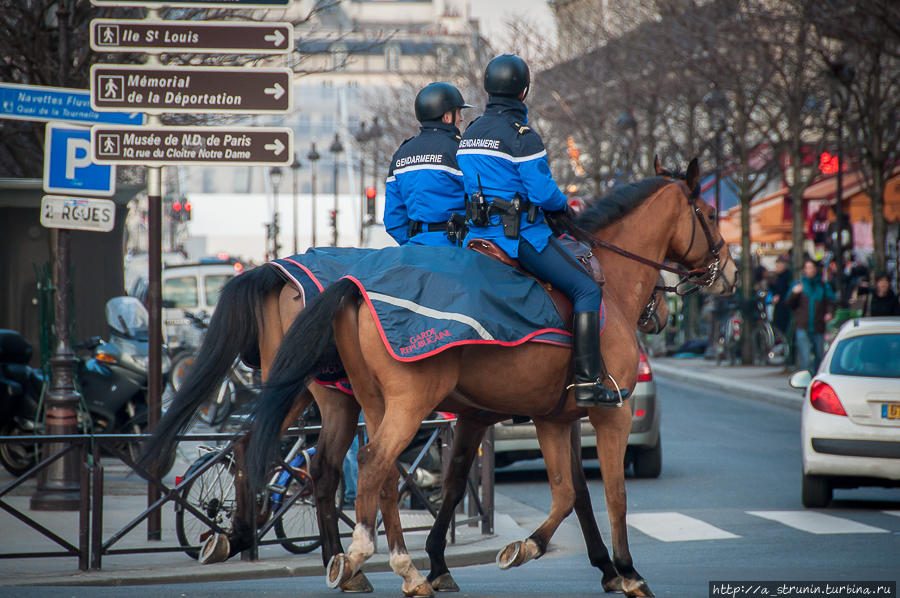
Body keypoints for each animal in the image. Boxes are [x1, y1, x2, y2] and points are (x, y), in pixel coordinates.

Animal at [246, 161, 740, 598]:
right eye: (709, 211)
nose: (731, 273)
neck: (607, 280)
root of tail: (350, 284)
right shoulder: (609, 413)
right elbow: (612, 494)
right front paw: (625, 571)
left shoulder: (548, 418)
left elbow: (563, 491)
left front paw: (521, 550)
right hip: (402, 402)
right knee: (366, 463)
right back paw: (371, 556)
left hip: (369, 401)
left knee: (363, 469)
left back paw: (379, 563)